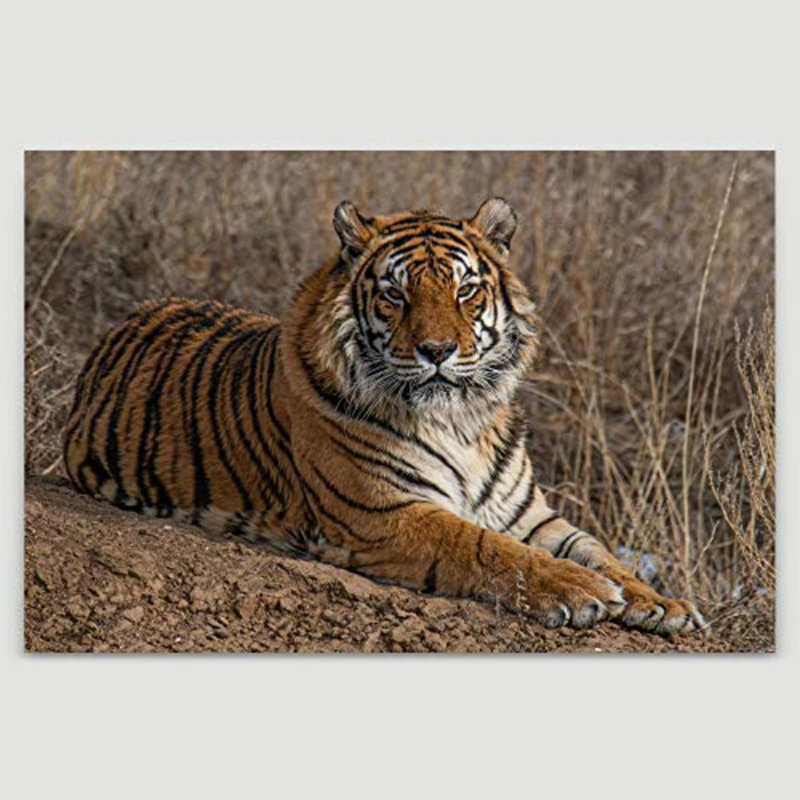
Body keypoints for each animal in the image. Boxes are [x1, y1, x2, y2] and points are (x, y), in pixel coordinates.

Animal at [63, 197, 704, 635]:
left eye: (465, 291)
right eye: (396, 294)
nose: (437, 351)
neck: (462, 420)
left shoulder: (531, 516)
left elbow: (599, 549)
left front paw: (662, 602)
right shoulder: (385, 513)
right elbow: (488, 548)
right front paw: (579, 589)